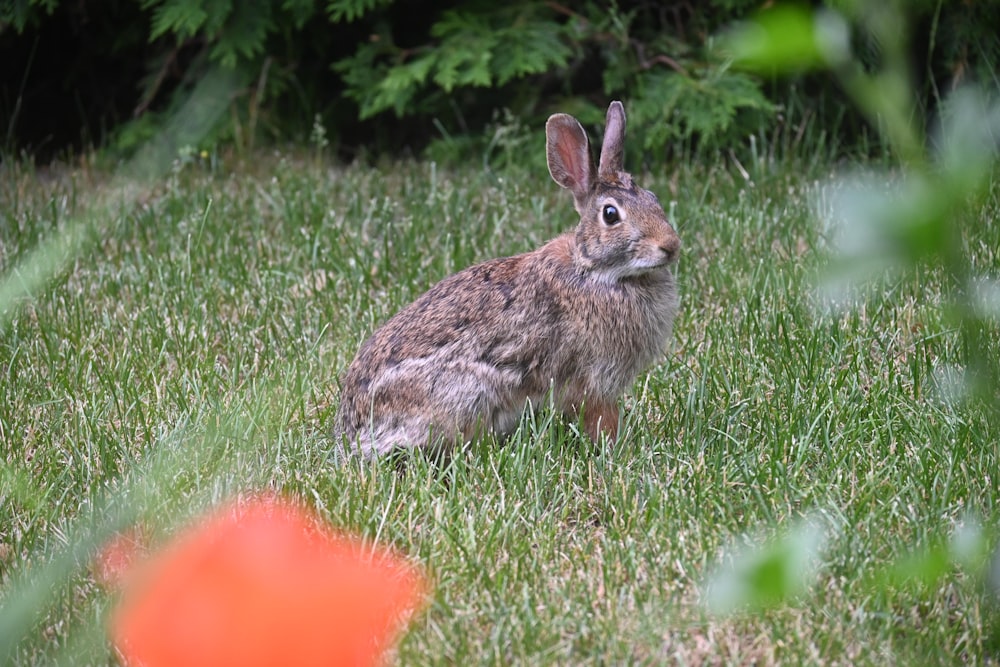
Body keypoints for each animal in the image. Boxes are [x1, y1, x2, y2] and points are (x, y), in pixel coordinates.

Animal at [334, 100, 680, 460]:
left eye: (654, 198)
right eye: (611, 215)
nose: (670, 246)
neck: (593, 269)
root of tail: (353, 434)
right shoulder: (593, 380)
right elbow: (601, 418)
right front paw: (615, 450)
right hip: (468, 393)